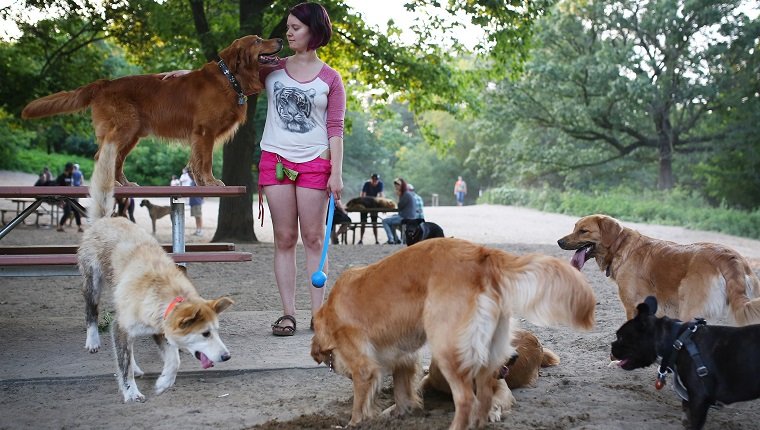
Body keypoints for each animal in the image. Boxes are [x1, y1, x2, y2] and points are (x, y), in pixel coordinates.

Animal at [79, 145, 235, 404]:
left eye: (217, 331)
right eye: (205, 334)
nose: (227, 357)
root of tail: (104, 220)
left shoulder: (160, 331)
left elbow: (175, 359)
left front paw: (164, 382)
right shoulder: (120, 326)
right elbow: (123, 364)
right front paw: (131, 392)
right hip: (92, 282)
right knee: (91, 312)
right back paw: (92, 340)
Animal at [308, 239, 592, 430]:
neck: (331, 312)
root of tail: (482, 255)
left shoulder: (364, 367)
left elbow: (359, 402)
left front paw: (354, 423)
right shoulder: (405, 359)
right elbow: (402, 392)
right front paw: (397, 414)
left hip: (448, 349)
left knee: (466, 399)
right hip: (491, 356)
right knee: (484, 397)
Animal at [560, 213, 760, 324]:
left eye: (583, 231)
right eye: (575, 228)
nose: (559, 241)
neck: (621, 246)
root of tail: (728, 257)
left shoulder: (633, 306)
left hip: (690, 311)